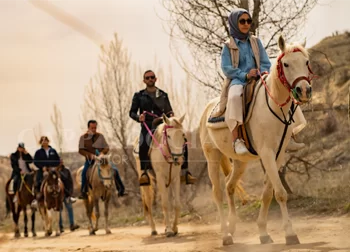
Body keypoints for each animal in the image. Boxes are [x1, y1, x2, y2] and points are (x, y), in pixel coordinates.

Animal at [198, 36, 314, 246]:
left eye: (306, 62)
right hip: (212, 157)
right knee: (217, 192)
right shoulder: (266, 154)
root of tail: (208, 109)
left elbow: (268, 193)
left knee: (229, 185)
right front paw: (290, 234)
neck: (274, 107)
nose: (304, 90)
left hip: (240, 162)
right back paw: (226, 235)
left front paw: (263, 232)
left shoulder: (277, 155)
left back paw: (232, 227)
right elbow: (281, 193)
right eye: (286, 64)